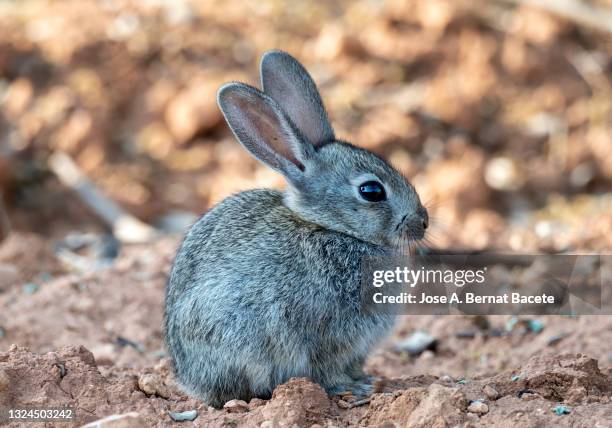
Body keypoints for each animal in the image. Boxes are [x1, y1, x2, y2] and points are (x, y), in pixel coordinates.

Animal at [165, 50, 428, 408]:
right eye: (371, 191)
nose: (422, 222)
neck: (332, 228)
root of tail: (190, 380)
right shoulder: (325, 335)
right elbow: (327, 367)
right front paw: (354, 388)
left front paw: (366, 380)